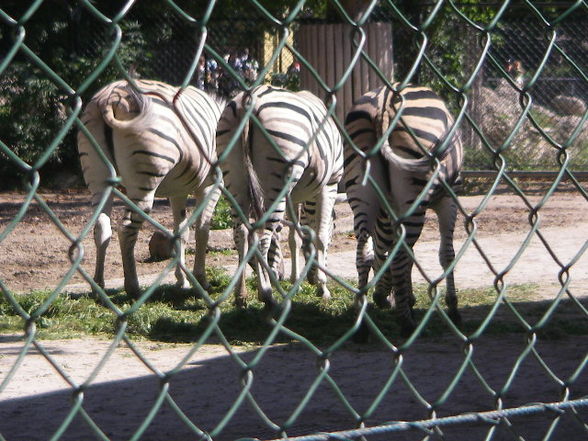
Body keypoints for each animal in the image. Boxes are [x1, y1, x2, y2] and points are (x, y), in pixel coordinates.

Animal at [77, 78, 224, 298]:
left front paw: (182, 281)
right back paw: (133, 287)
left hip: (98, 180)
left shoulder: (178, 191)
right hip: (145, 181)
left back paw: (98, 287)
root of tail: (109, 97)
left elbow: (181, 232)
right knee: (126, 229)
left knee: (101, 228)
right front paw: (201, 280)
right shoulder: (211, 185)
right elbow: (202, 230)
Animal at [217, 84, 344, 308]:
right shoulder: (329, 185)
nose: (311, 279)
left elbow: (295, 237)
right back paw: (266, 293)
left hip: (235, 180)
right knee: (262, 239)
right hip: (277, 180)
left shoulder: (294, 197)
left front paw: (296, 282)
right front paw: (322, 287)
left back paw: (241, 295)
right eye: (335, 228)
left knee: (241, 233)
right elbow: (319, 235)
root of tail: (251, 99)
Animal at [344, 82, 464, 336]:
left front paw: (403, 298)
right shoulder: (448, 200)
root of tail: (383, 103)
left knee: (364, 253)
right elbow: (446, 254)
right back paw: (406, 324)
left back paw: (362, 325)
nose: (380, 298)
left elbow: (396, 253)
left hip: (361, 189)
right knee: (399, 256)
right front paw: (452, 308)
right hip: (414, 194)